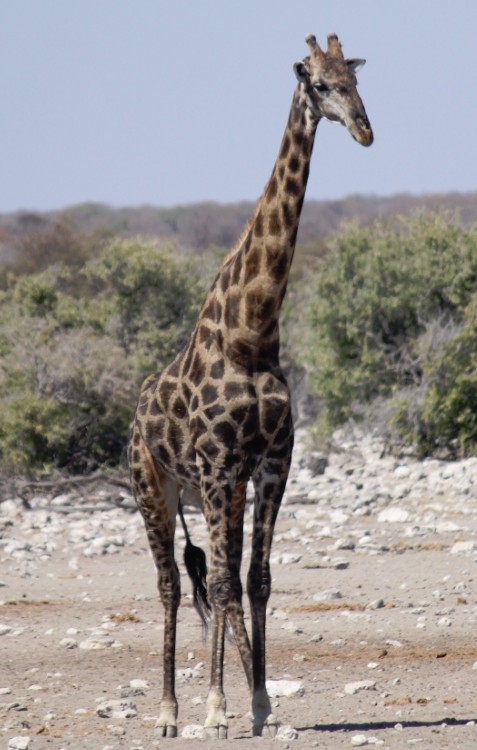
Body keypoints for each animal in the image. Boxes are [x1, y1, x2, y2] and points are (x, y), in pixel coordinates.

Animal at [129, 32, 372, 736]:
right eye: (318, 83)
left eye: (355, 79)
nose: (365, 130)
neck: (254, 331)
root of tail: (134, 410)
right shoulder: (216, 465)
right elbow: (217, 584)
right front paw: (214, 709)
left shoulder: (269, 462)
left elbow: (255, 578)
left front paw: (258, 700)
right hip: (154, 487)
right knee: (172, 585)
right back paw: (169, 712)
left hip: (217, 489)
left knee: (224, 575)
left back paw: (243, 694)